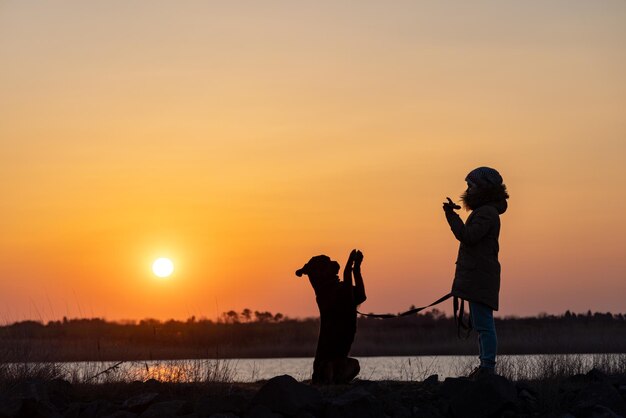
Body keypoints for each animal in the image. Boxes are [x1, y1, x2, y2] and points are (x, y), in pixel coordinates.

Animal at [296, 250, 366, 384]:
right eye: (325, 260)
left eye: (329, 258)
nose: (335, 261)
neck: (328, 284)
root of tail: (314, 378)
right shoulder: (347, 294)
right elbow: (346, 271)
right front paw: (351, 257)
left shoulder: (359, 295)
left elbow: (356, 273)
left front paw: (358, 259)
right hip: (326, 364)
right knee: (328, 380)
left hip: (355, 363)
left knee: (340, 378)